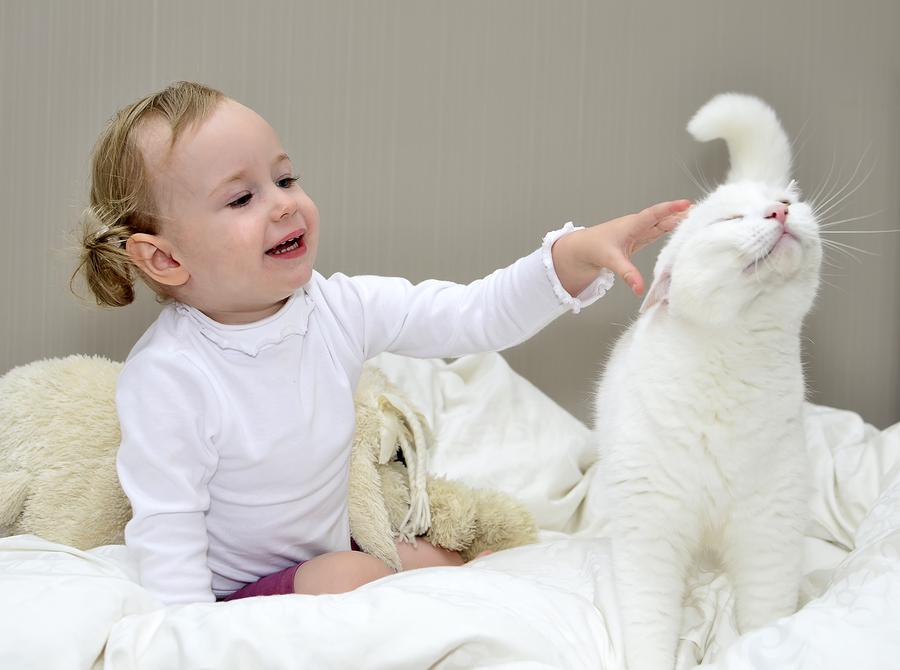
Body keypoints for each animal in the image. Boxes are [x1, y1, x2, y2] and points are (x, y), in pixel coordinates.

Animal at [596, 94, 820, 670]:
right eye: (731, 218)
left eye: (785, 200)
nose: (780, 212)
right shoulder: (649, 536)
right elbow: (650, 632)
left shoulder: (769, 538)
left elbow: (765, 626)